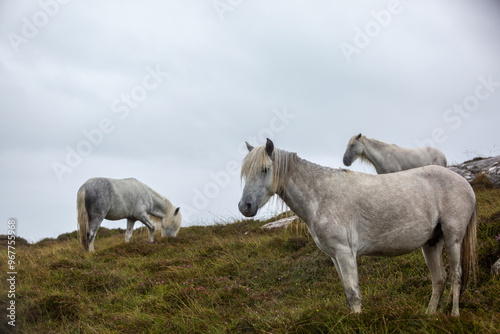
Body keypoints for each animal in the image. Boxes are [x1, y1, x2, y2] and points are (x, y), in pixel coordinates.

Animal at [238, 140, 476, 318]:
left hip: (453, 239)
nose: (245, 207)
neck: (320, 196)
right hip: (431, 243)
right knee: (439, 278)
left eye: (265, 169)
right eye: (245, 173)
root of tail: (465, 183)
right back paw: (429, 315)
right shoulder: (335, 256)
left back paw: (454, 315)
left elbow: (354, 294)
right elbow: (347, 292)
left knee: (456, 275)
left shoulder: (345, 253)